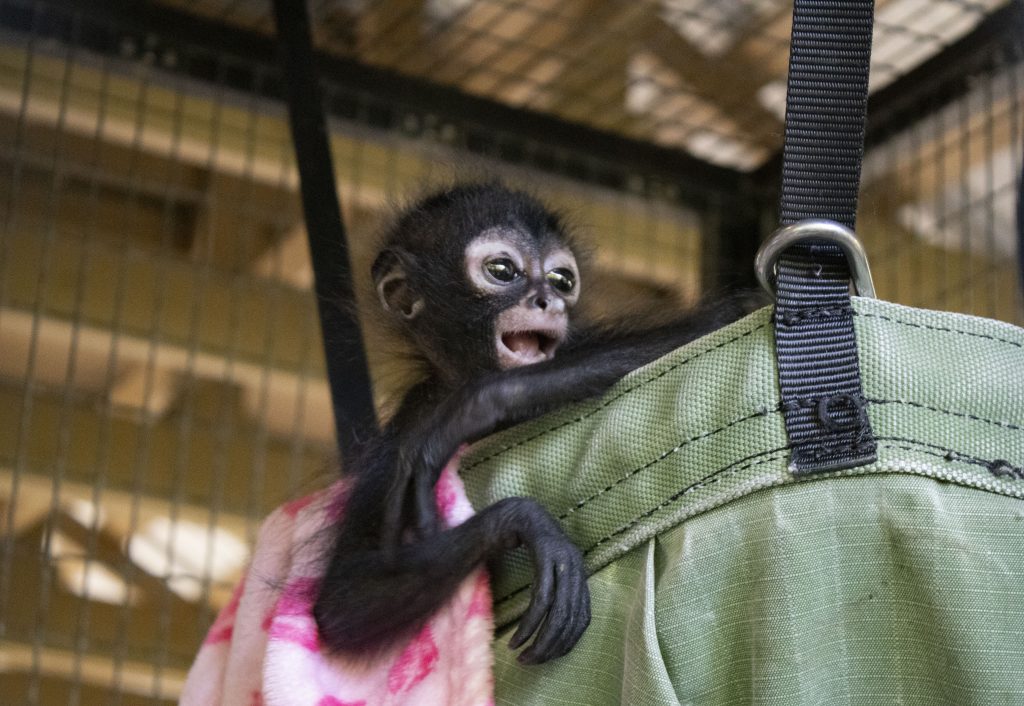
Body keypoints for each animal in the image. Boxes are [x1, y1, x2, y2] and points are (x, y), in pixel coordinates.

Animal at [312, 182, 754, 665]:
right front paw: (526, 523)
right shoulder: (404, 431)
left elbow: (735, 315)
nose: (548, 300)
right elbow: (344, 604)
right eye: (503, 270)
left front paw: (480, 404)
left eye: (562, 280)